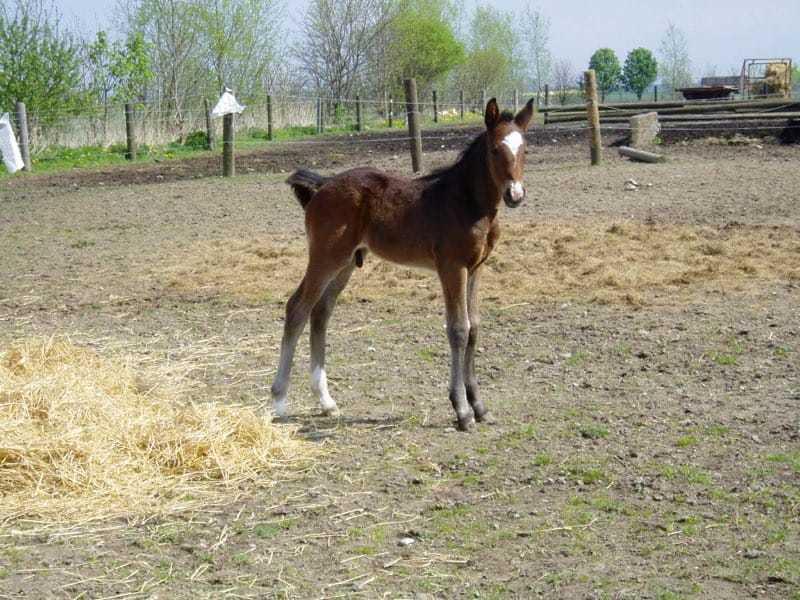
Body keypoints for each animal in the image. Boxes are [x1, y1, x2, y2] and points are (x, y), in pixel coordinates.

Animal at [272, 98, 536, 428]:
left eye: (525, 149)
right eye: (495, 150)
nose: (515, 194)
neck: (466, 202)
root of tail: (322, 185)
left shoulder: (476, 268)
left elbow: (474, 327)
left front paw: (479, 405)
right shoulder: (452, 267)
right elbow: (458, 329)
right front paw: (462, 410)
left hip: (345, 263)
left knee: (320, 313)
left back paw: (326, 402)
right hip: (325, 257)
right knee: (297, 308)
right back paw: (279, 402)